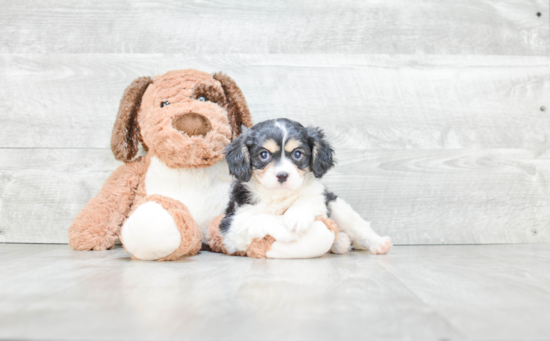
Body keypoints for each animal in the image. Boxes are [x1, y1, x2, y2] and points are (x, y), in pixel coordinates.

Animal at [218, 117, 394, 258]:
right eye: (263, 154)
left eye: (297, 154)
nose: (282, 175)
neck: (279, 196)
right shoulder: (231, 227)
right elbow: (258, 218)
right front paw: (283, 227)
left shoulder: (319, 199)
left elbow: (307, 200)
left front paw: (297, 216)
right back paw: (341, 242)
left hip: (338, 206)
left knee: (360, 229)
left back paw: (379, 243)